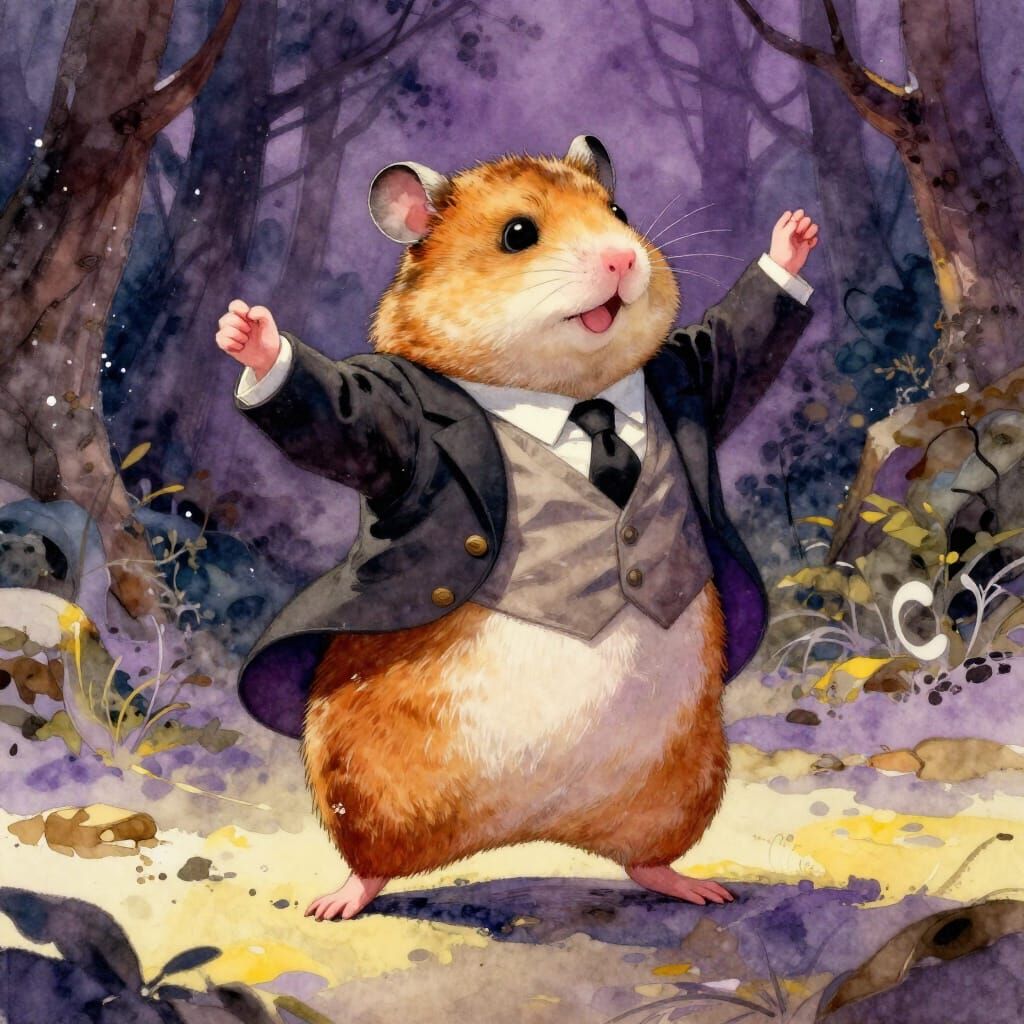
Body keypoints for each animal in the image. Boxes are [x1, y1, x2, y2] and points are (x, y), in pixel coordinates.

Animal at [216, 135, 818, 920]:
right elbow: (338, 413)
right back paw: (341, 899)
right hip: (360, 783)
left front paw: (793, 238)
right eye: (518, 234)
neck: (573, 395)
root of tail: (528, 825)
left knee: (646, 858)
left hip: (684, 783)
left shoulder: (692, 371)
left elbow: (736, 343)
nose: (623, 258)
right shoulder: (392, 427)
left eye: (619, 212)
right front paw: (249, 337)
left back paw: (695, 887)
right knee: (371, 862)